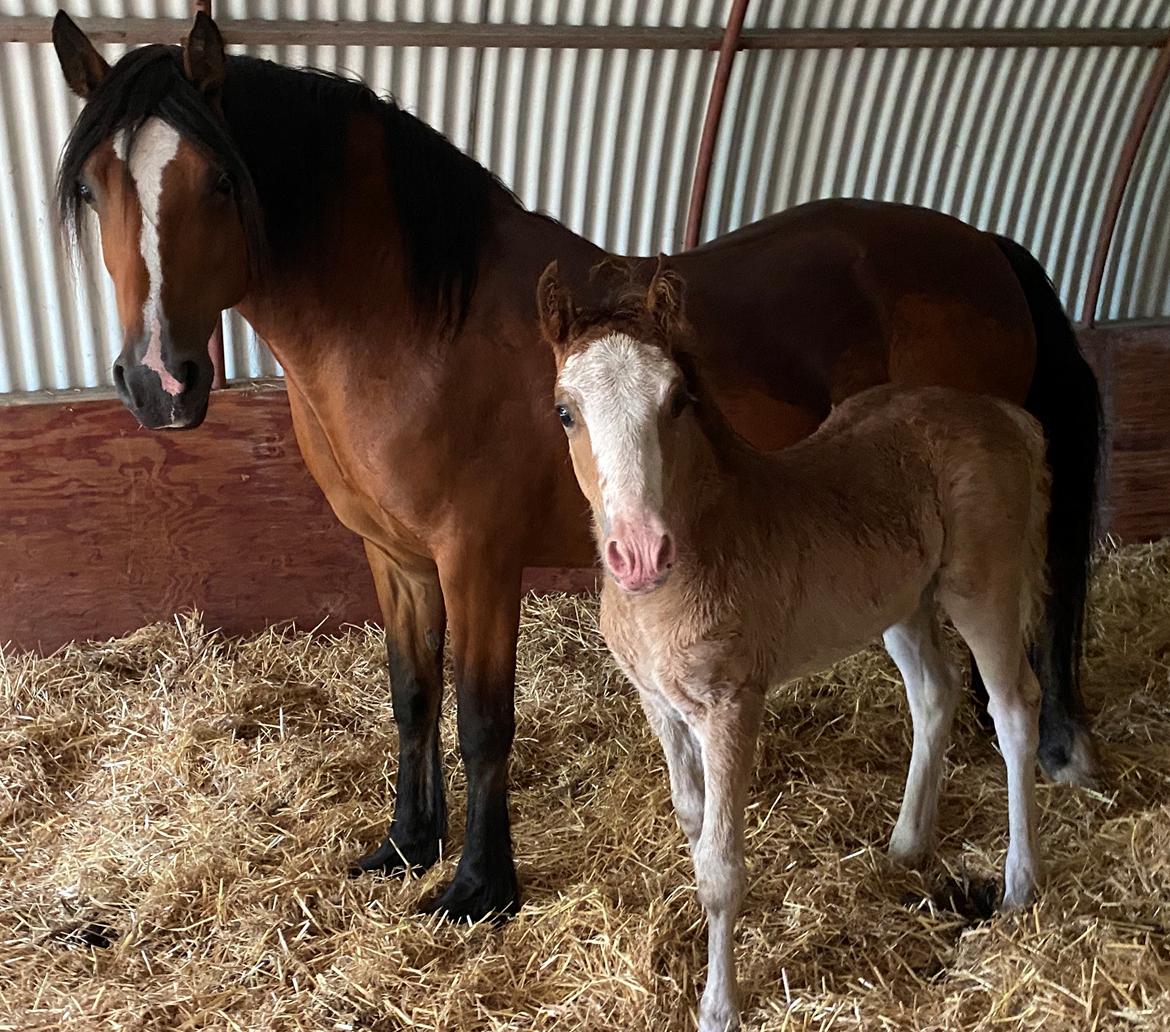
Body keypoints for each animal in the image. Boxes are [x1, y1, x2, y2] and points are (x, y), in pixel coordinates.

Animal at [50, 12, 1099, 922]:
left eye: (220, 185)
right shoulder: (398, 561)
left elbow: (481, 719)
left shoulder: (479, 561)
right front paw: (406, 846)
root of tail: (981, 247)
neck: (418, 326)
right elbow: (411, 698)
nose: (159, 381)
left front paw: (479, 889)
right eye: (96, 189)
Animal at [538, 260, 1053, 1024]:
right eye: (565, 411)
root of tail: (999, 414)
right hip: (902, 604)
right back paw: (906, 846)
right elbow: (695, 825)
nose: (639, 552)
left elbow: (722, 867)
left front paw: (718, 1008)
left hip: (981, 590)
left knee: (1015, 708)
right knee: (934, 694)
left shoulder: (731, 705)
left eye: (677, 400)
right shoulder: (660, 704)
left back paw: (1019, 886)